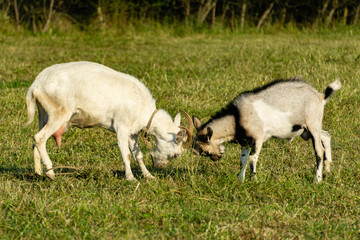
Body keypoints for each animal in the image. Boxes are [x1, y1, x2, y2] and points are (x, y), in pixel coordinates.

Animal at [25, 61, 193, 181]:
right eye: (176, 154)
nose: (160, 166)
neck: (142, 108)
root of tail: (36, 85)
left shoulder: (132, 132)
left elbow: (138, 155)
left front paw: (148, 176)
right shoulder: (121, 127)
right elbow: (126, 154)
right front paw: (131, 178)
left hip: (43, 113)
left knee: (36, 140)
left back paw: (38, 172)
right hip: (59, 113)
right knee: (39, 138)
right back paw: (51, 173)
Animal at [193, 78, 342, 182]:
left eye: (205, 151)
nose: (216, 158)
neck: (236, 117)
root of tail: (320, 96)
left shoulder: (258, 138)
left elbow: (252, 159)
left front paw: (254, 180)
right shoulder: (246, 143)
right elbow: (243, 160)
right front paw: (240, 180)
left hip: (312, 124)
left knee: (319, 151)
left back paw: (317, 179)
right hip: (308, 130)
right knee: (326, 136)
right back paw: (327, 170)